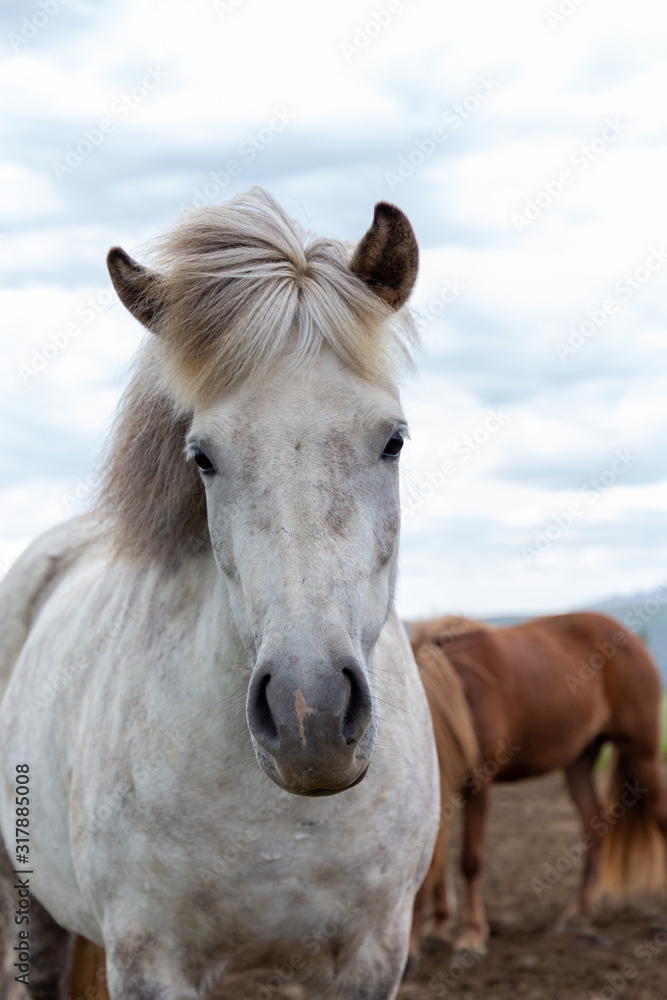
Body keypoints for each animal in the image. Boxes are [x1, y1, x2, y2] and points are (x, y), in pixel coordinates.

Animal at [410, 612, 667, 956]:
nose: (406, 958)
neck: (459, 688)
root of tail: (630, 638)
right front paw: (439, 926)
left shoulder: (478, 783)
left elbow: (469, 860)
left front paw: (471, 934)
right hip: (580, 761)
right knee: (595, 827)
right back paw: (578, 913)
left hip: (641, 754)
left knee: (659, 814)